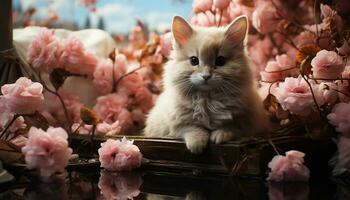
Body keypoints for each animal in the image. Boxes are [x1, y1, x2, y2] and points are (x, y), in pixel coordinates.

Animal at [144, 15, 268, 153]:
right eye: (194, 60)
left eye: (220, 61)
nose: (206, 76)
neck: (207, 98)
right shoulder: (176, 123)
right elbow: (192, 129)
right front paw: (197, 145)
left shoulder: (245, 121)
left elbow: (230, 127)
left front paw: (219, 136)